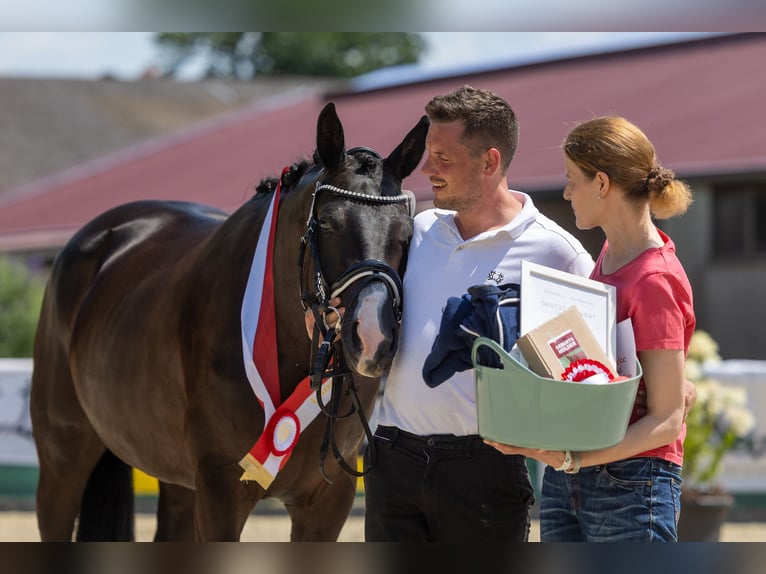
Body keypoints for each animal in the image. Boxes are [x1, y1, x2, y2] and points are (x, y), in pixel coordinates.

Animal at [30, 104, 428, 544]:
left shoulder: (327, 502)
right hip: (62, 457)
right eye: (326, 224)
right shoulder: (221, 491)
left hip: (178, 480)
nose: (373, 336)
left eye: (406, 232)